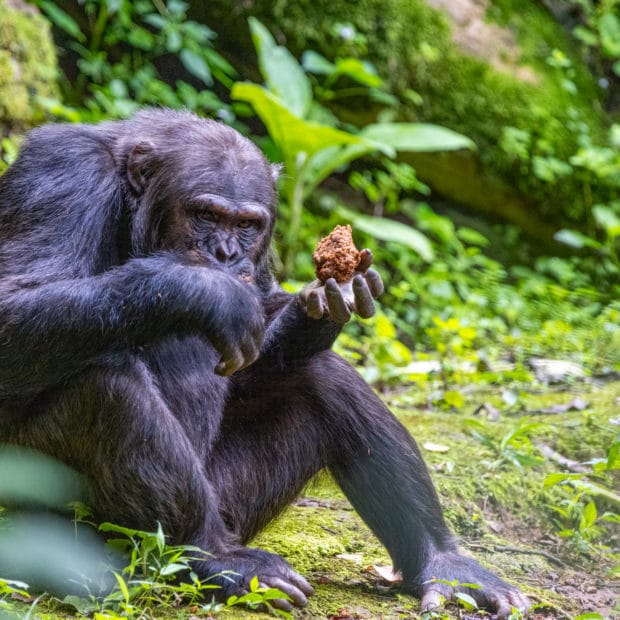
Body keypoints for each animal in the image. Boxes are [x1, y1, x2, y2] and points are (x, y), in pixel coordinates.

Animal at [0, 110, 532, 616]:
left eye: (247, 225)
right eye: (205, 214)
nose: (225, 253)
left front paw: (321, 302)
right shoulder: (62, 175)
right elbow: (15, 301)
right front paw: (210, 292)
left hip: (235, 503)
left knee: (326, 376)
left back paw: (444, 564)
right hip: (64, 520)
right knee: (104, 383)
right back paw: (216, 558)